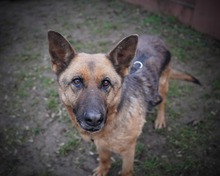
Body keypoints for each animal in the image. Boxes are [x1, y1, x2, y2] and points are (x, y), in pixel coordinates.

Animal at [48, 31, 201, 175]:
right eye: (77, 81)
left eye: (106, 83)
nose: (94, 120)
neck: (113, 119)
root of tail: (157, 38)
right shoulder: (101, 145)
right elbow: (104, 159)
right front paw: (103, 170)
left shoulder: (128, 151)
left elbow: (126, 171)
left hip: (163, 85)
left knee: (162, 103)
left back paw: (160, 119)